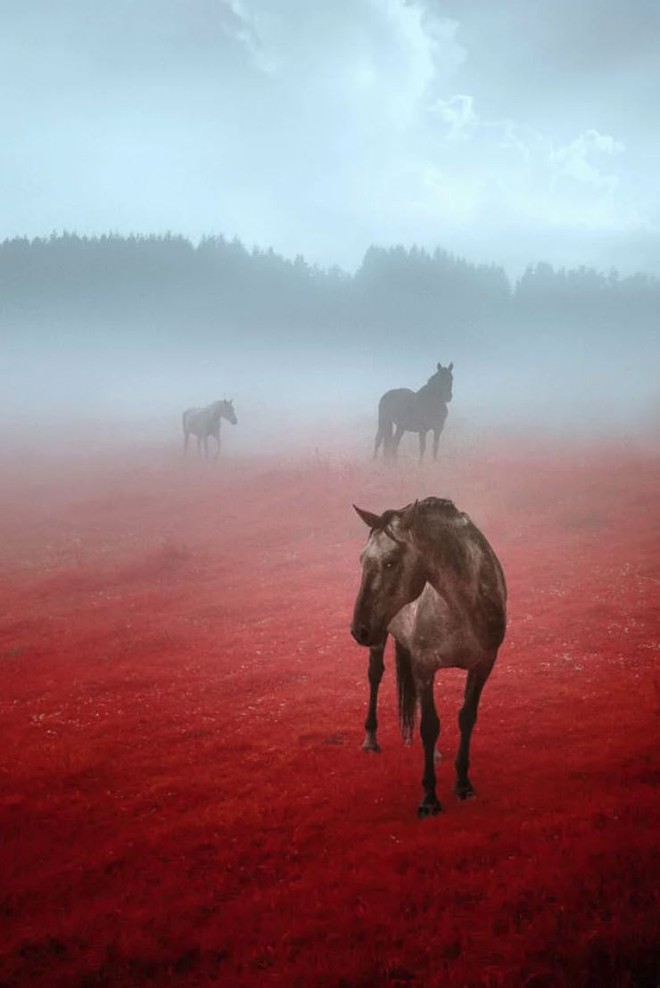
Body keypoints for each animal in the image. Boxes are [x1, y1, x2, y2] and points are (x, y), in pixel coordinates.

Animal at [350, 494, 506, 820]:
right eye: (362, 560)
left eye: (390, 562)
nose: (359, 630)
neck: (463, 607)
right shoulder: (425, 667)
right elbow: (429, 726)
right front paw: (430, 798)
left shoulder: (483, 665)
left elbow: (466, 718)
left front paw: (463, 785)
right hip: (382, 641)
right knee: (375, 676)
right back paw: (371, 739)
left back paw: (433, 754)